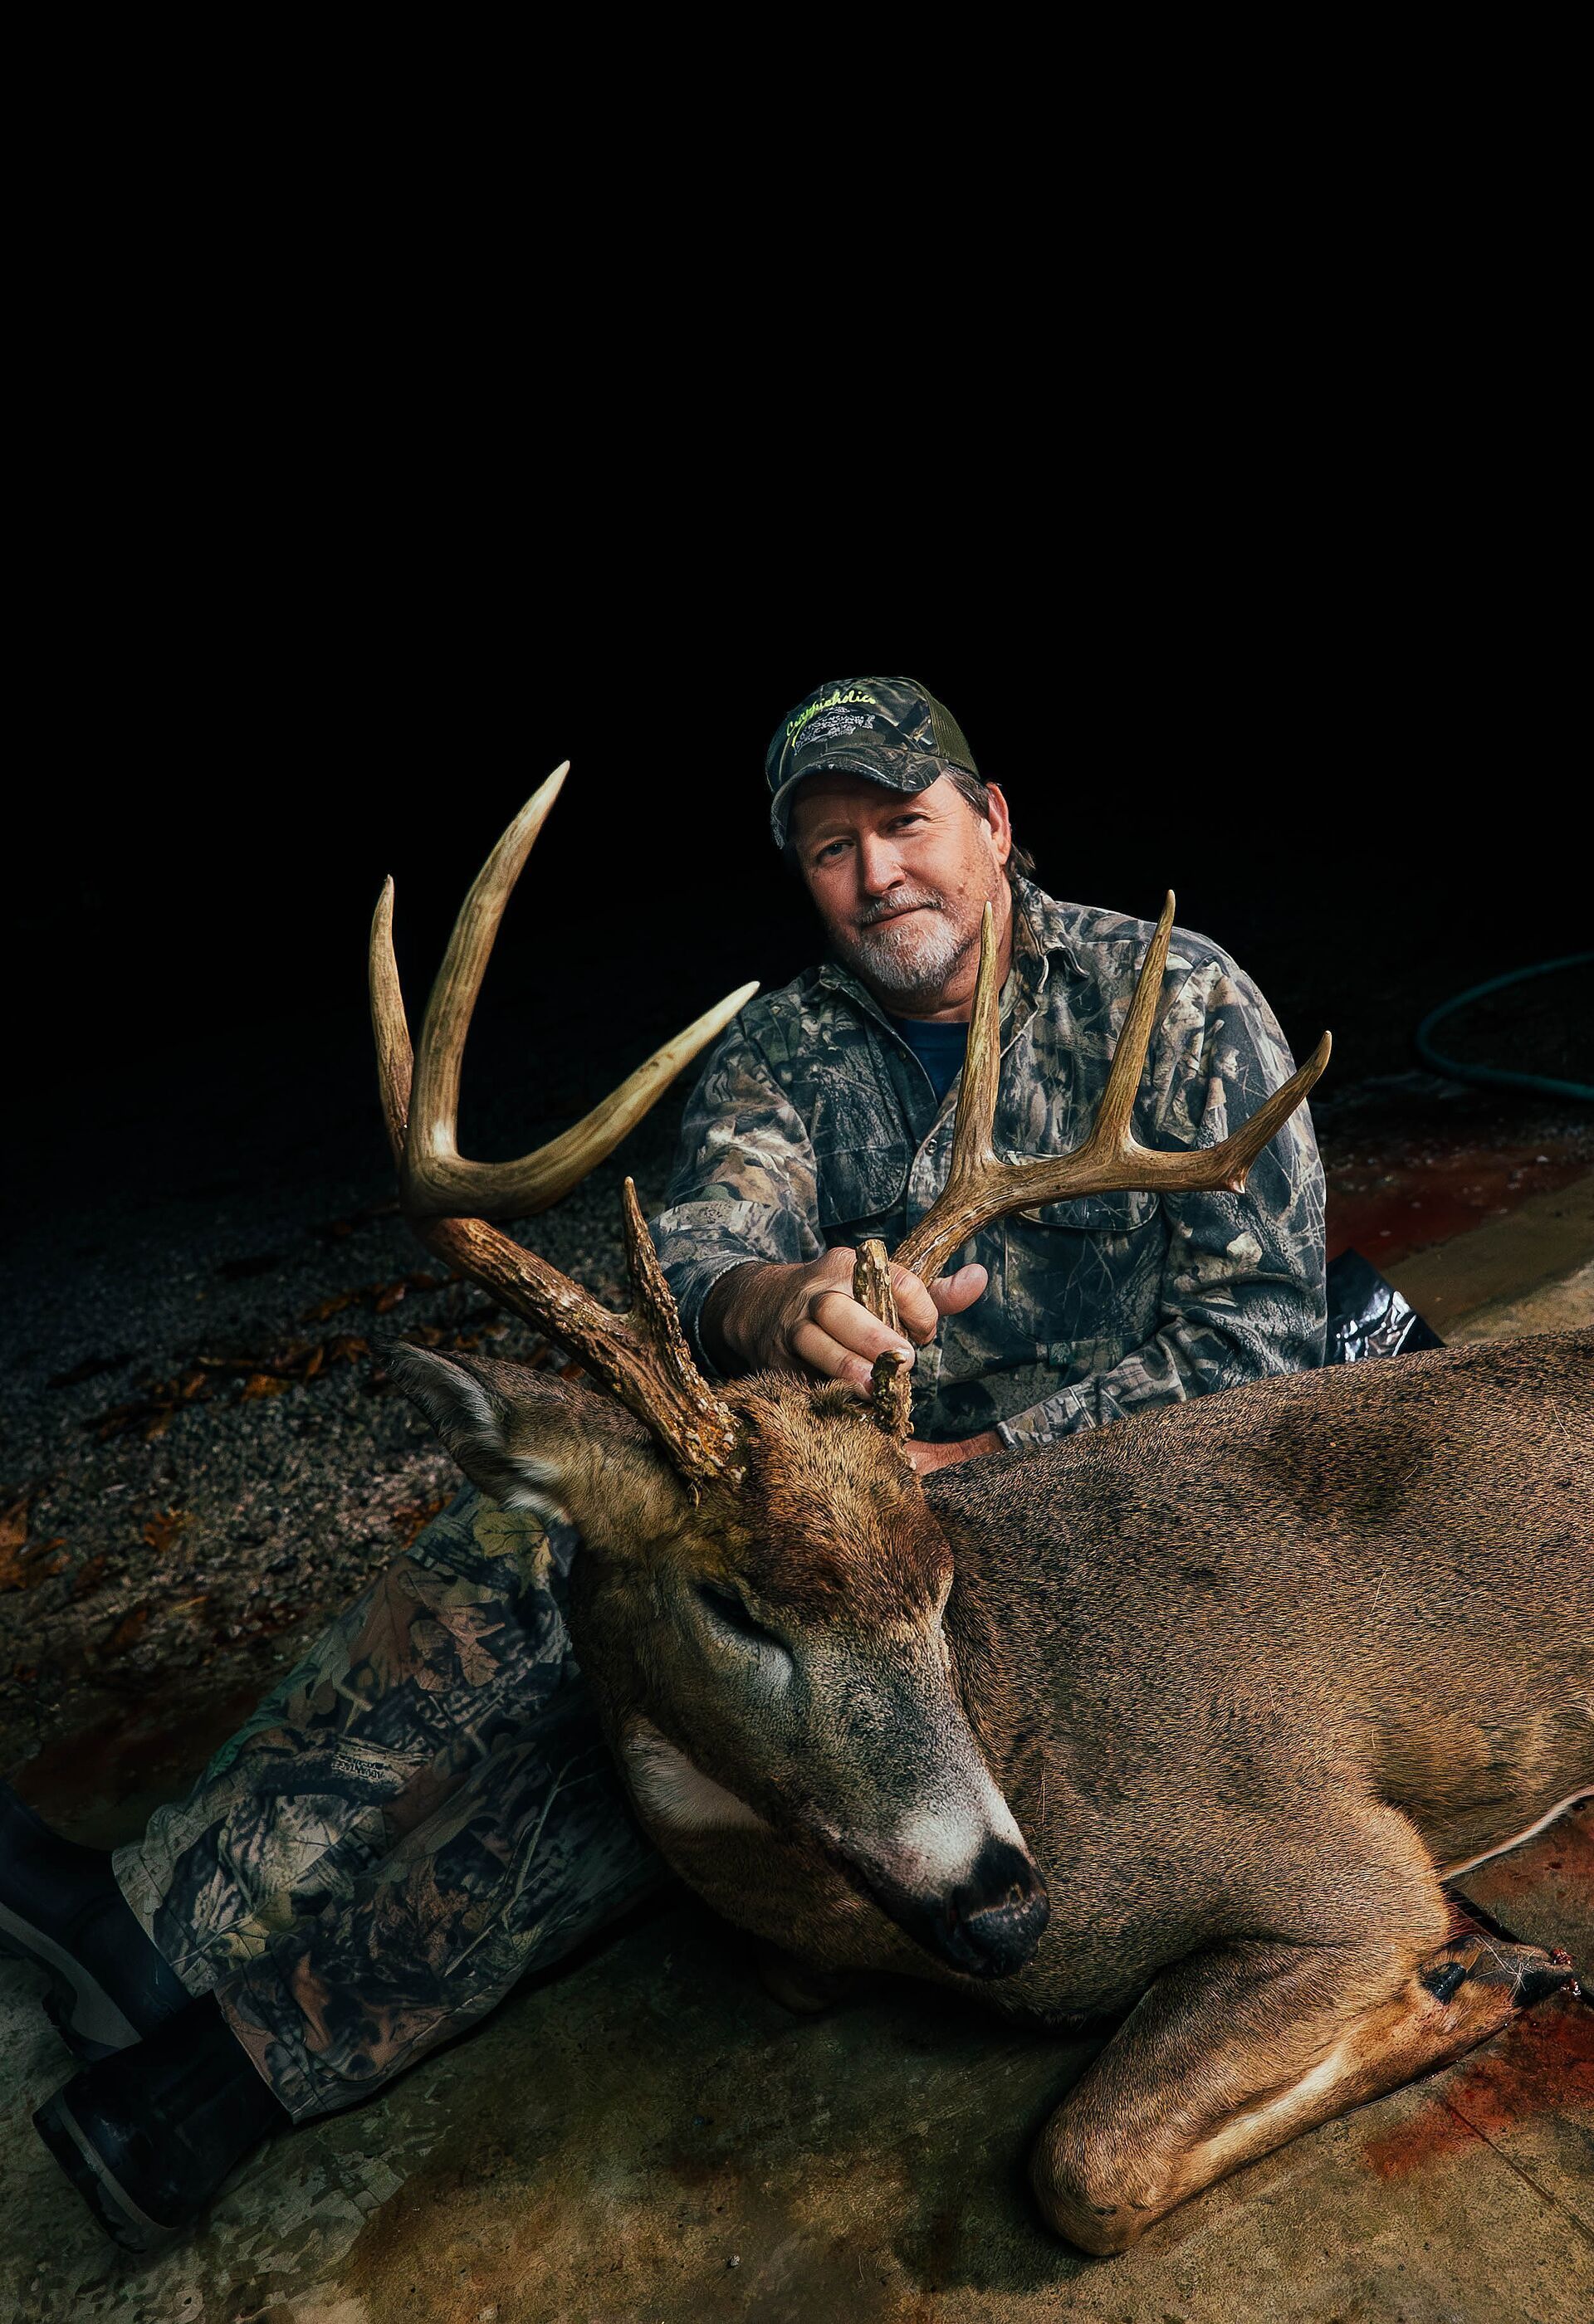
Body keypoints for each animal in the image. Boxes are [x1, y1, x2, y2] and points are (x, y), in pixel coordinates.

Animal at [369, 770, 1592, 2255]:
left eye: (938, 1590)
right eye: (734, 1604)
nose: (1007, 1906)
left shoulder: (1342, 1862)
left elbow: (1085, 2162)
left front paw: (1490, 1976)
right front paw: (1492, 1977)